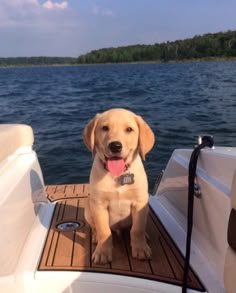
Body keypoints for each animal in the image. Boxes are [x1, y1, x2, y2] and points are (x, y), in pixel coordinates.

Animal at [83, 107, 155, 262]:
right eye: (104, 128)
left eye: (129, 129)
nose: (115, 146)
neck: (118, 174)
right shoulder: (99, 204)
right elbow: (104, 230)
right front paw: (102, 253)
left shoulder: (140, 202)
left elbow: (137, 229)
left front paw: (140, 249)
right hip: (88, 208)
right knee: (95, 227)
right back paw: (96, 238)